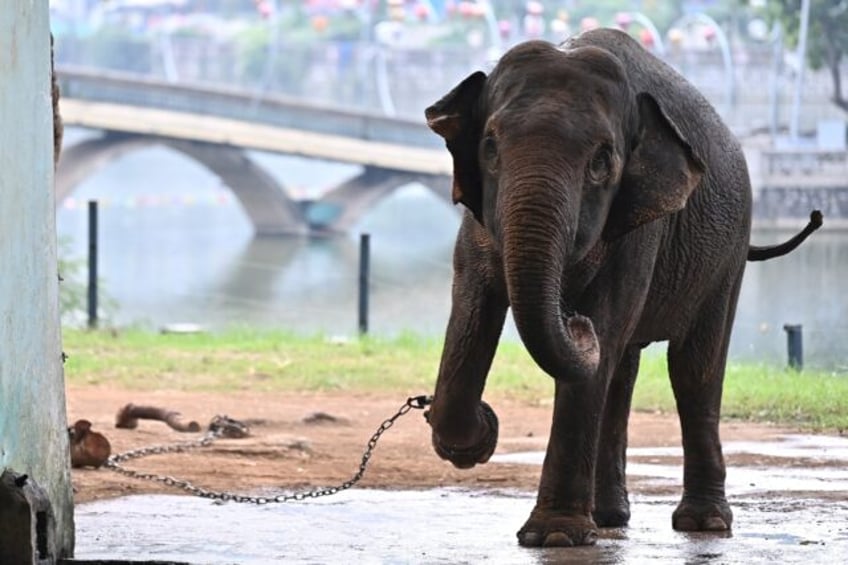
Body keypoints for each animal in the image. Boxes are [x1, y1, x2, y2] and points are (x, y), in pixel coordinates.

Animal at [424, 28, 820, 548]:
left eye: (602, 161)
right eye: (489, 147)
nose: (574, 320)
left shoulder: (641, 226)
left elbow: (604, 335)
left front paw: (554, 537)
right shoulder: (477, 222)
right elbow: (471, 308)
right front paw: (477, 437)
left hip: (730, 252)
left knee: (691, 369)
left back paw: (703, 524)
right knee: (623, 370)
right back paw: (610, 516)